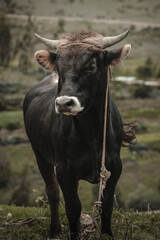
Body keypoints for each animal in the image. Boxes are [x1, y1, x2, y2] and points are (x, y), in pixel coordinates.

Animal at [22, 31, 135, 239]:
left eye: (91, 67)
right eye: (59, 68)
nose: (64, 103)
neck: (92, 133)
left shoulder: (115, 165)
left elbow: (106, 205)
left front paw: (106, 233)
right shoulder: (64, 169)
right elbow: (73, 208)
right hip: (40, 154)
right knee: (52, 191)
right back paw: (54, 229)